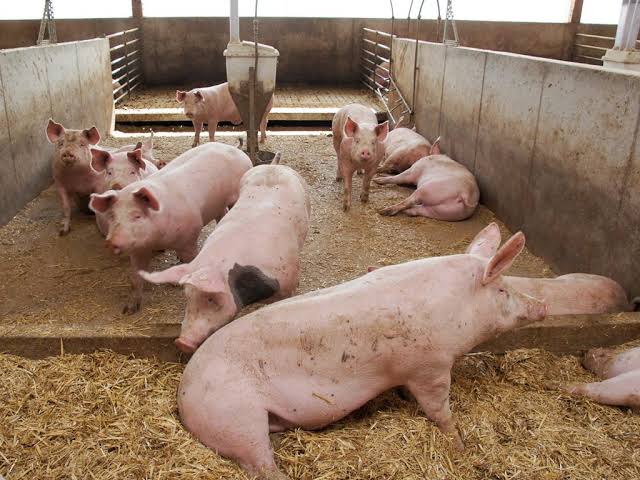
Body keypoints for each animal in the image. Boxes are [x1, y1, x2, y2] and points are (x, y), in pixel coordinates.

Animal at [89, 143, 252, 314]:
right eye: (112, 216)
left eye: (137, 216)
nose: (111, 241)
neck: (158, 240)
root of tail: (234, 149)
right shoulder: (138, 249)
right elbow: (136, 278)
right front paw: (129, 310)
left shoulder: (189, 238)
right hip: (218, 205)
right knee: (222, 214)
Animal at [177, 229, 546, 479]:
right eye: (503, 290)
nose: (542, 306)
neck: (456, 306)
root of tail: (184, 394)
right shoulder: (430, 366)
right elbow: (439, 410)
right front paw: (459, 444)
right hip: (237, 415)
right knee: (260, 465)